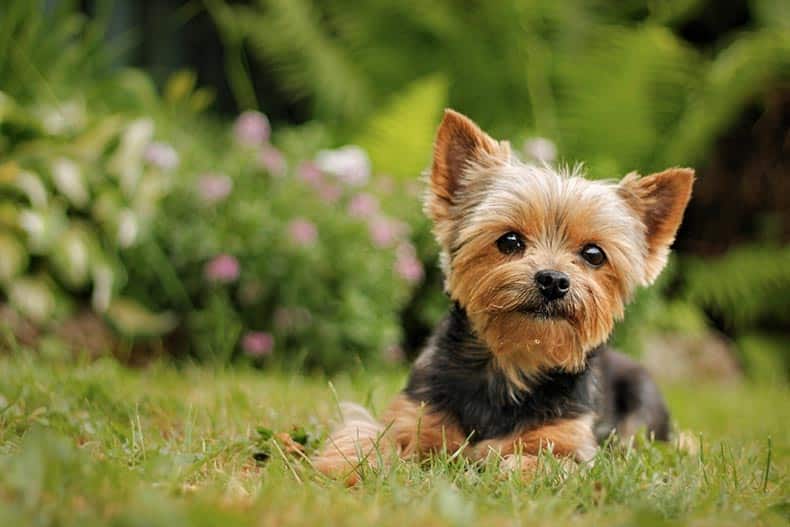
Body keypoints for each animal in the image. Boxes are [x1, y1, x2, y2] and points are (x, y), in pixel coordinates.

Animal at [312, 109, 696, 480]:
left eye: (593, 254)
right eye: (509, 241)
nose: (553, 280)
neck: (512, 361)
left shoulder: (570, 442)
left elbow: (541, 462)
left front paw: (500, 463)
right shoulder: (415, 413)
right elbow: (369, 434)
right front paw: (348, 465)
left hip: (642, 401)